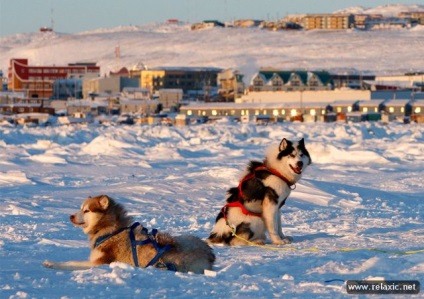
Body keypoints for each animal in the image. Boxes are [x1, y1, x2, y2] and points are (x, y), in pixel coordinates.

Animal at [44, 196, 215, 276]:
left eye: (86, 210)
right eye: (80, 208)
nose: (71, 216)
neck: (110, 231)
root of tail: (209, 253)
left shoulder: (100, 263)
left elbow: (71, 263)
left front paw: (52, 264)